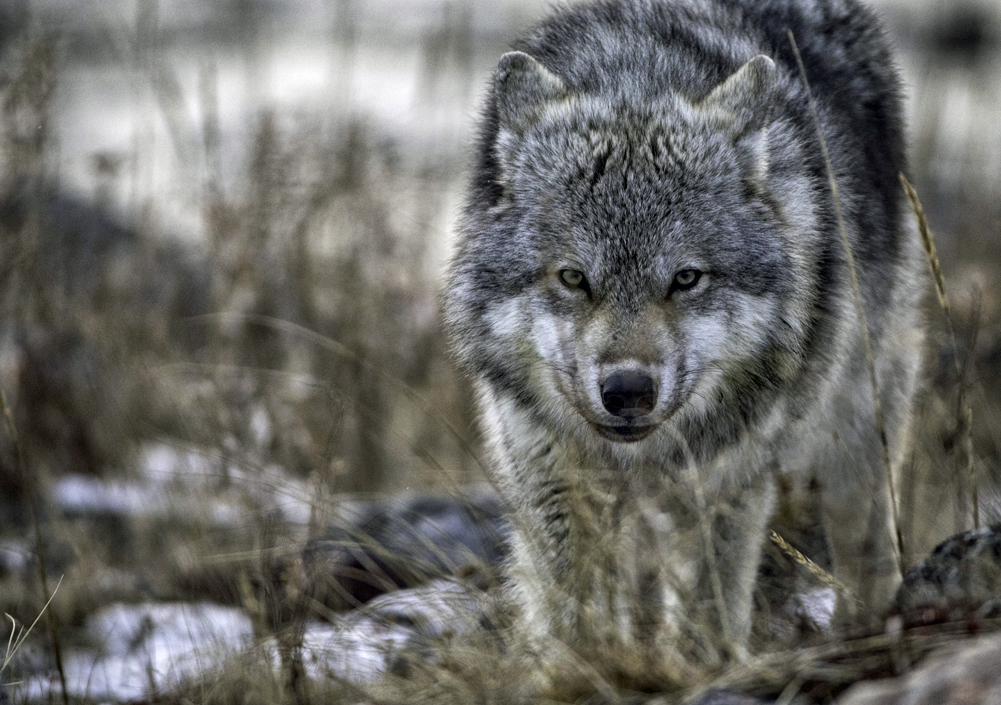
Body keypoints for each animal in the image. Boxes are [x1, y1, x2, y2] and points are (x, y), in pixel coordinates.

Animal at [444, 0, 920, 672]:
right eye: (573, 277)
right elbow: (572, 607)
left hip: (855, 433)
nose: (627, 391)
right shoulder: (549, 473)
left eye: (686, 278)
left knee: (867, 549)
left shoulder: (728, 482)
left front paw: (700, 673)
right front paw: (582, 672)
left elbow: (707, 605)